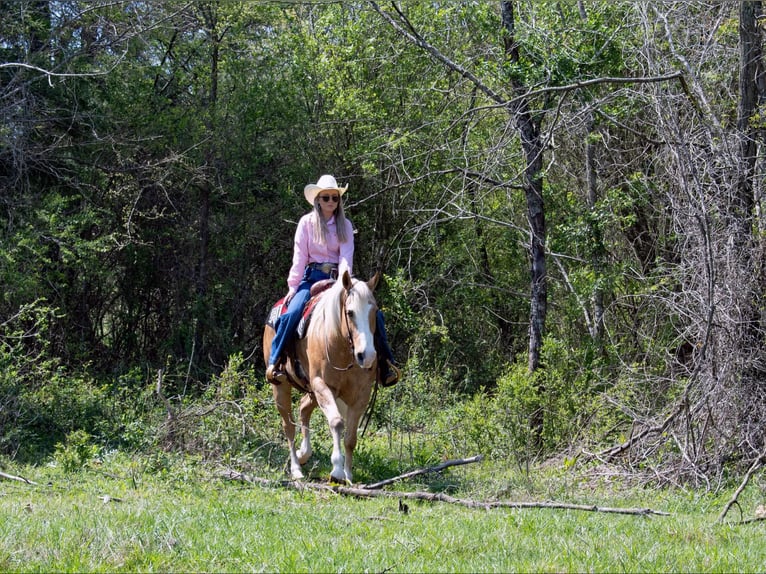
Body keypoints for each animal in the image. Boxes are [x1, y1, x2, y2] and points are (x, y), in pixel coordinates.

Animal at [263, 269, 379, 484]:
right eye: (350, 312)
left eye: (374, 311)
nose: (366, 356)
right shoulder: (321, 385)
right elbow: (337, 422)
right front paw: (337, 470)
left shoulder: (361, 394)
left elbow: (351, 438)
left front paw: (348, 475)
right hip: (281, 386)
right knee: (288, 426)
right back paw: (296, 468)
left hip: (312, 391)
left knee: (303, 408)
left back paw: (304, 454)